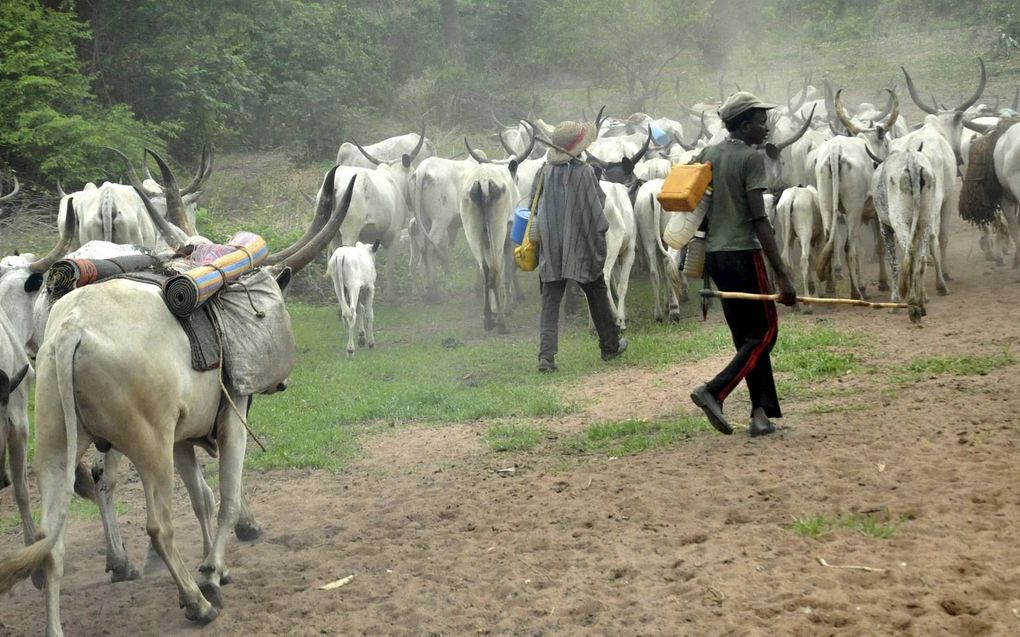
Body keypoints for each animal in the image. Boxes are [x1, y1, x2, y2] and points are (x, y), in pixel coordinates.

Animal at [873, 146, 942, 320]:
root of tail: (912, 161)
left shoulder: (885, 226)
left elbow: (893, 264)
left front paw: (895, 302)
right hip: (925, 220)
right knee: (921, 258)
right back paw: (920, 302)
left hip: (900, 221)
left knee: (909, 255)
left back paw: (911, 303)